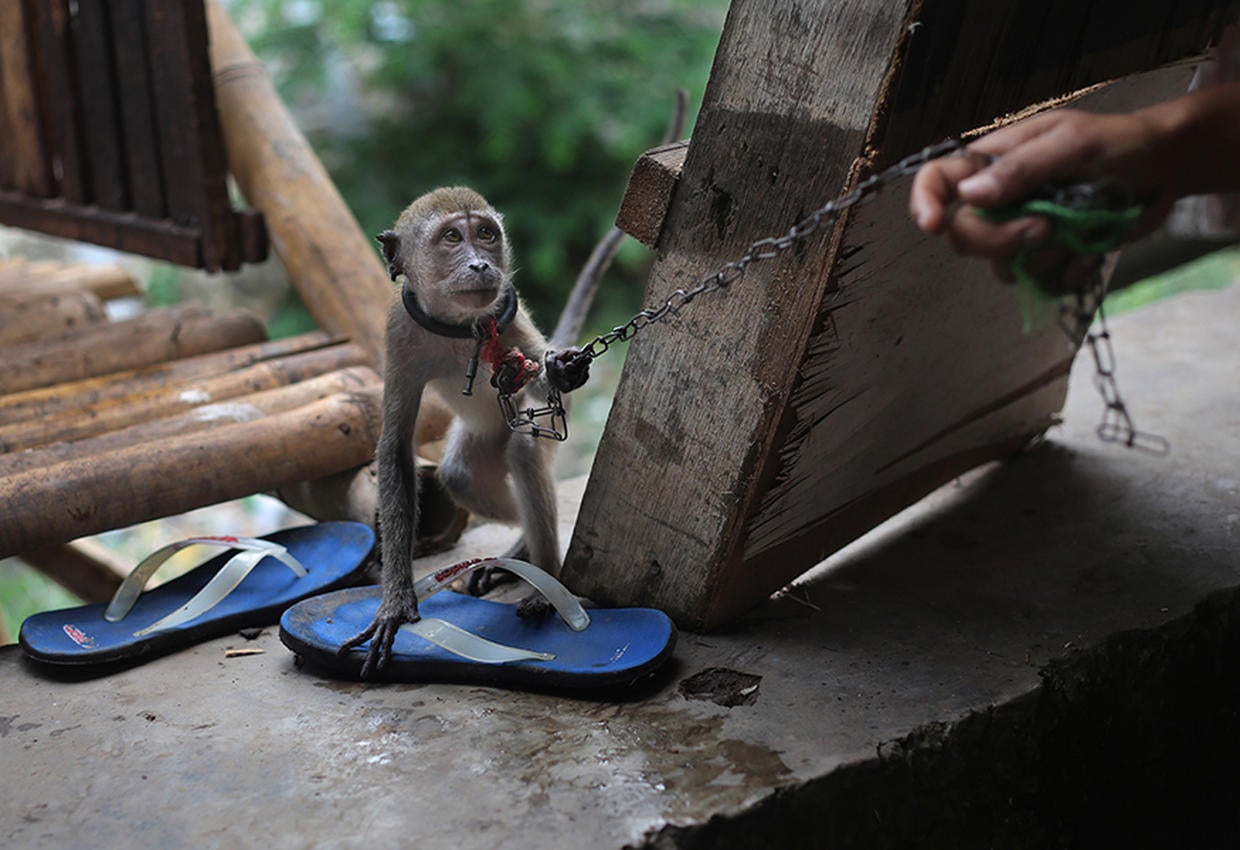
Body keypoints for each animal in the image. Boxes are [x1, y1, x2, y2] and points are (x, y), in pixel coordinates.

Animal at [340, 186, 589, 677]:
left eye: (486, 234)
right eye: (453, 237)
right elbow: (396, 448)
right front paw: (395, 601)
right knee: (460, 476)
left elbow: (539, 377)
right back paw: (521, 551)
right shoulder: (399, 334)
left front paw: (559, 371)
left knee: (524, 454)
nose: (480, 264)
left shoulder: (508, 315)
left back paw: (540, 572)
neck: (458, 325)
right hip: (480, 440)